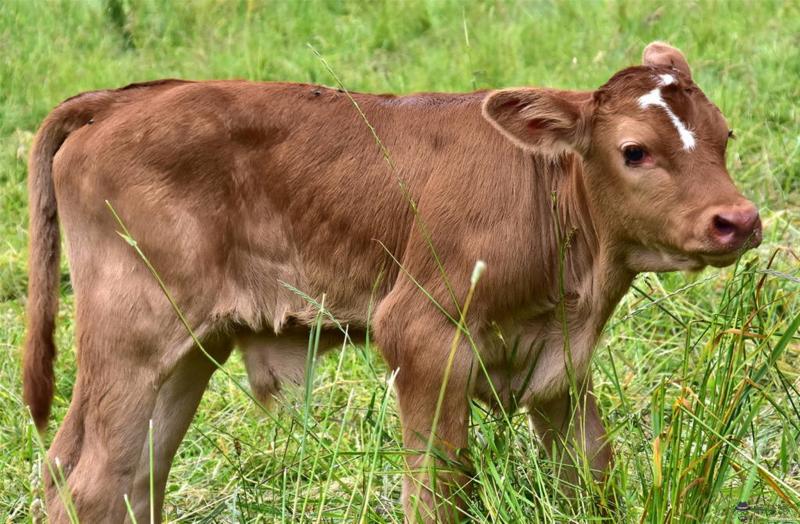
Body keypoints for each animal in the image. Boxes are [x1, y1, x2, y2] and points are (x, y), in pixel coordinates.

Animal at [25, 43, 760, 520]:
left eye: (724, 136)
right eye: (635, 150)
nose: (739, 220)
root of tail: (129, 96)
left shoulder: (558, 367)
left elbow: (591, 478)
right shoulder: (421, 333)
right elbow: (440, 491)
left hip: (185, 349)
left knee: (117, 472)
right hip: (137, 329)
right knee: (92, 485)